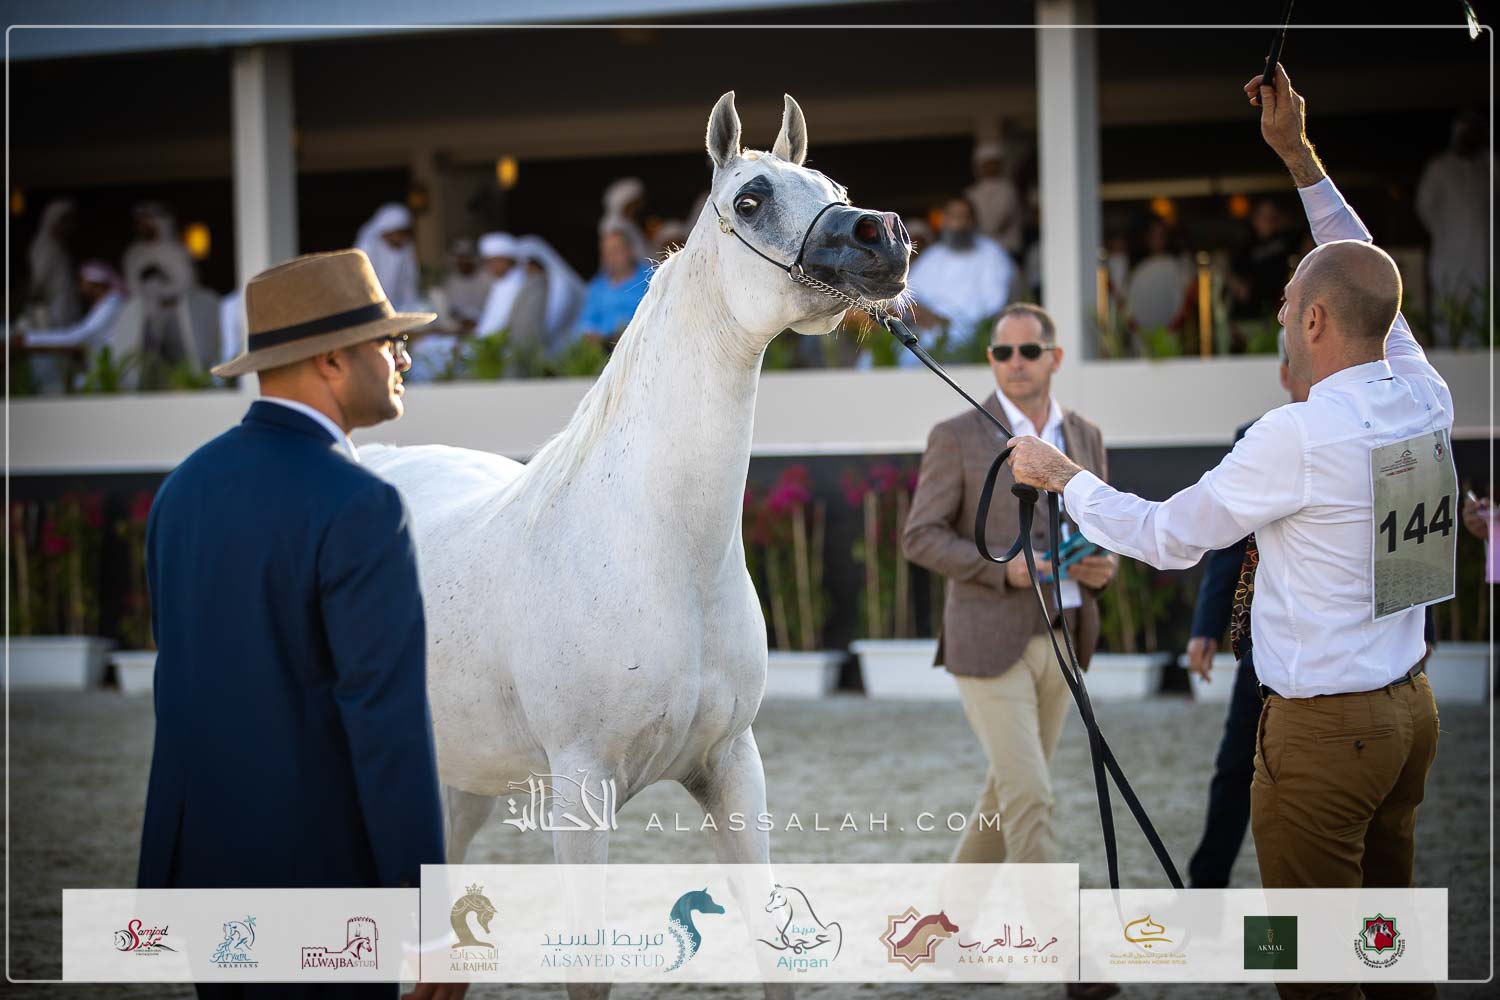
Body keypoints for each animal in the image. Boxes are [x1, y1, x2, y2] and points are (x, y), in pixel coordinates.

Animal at [364, 92, 908, 999]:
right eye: (750, 199)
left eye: (833, 187)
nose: (884, 236)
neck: (657, 548)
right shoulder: (582, 791)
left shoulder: (733, 768)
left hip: (459, 779)